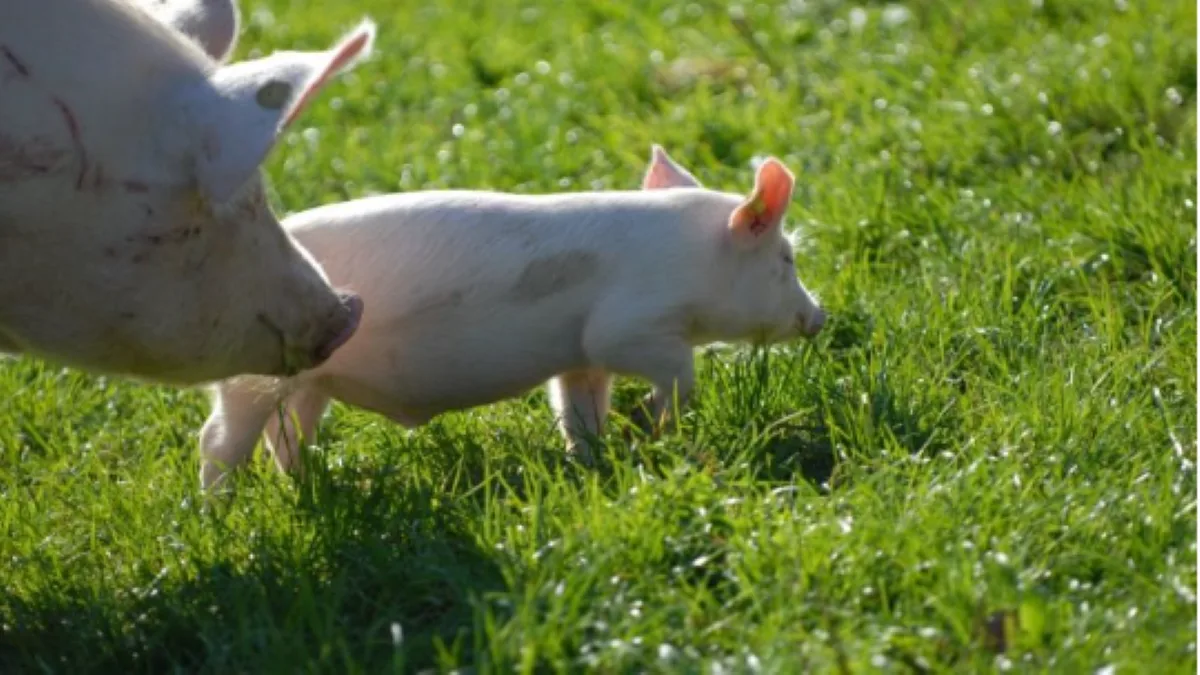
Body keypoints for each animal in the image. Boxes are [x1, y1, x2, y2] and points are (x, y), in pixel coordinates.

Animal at [198, 147, 826, 489]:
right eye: (786, 258)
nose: (819, 316)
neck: (692, 258)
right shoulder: (629, 327)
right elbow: (679, 374)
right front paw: (651, 427)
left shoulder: (581, 358)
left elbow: (578, 409)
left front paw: (594, 461)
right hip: (248, 379)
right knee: (218, 440)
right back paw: (220, 511)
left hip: (311, 380)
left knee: (287, 432)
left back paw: (316, 485)